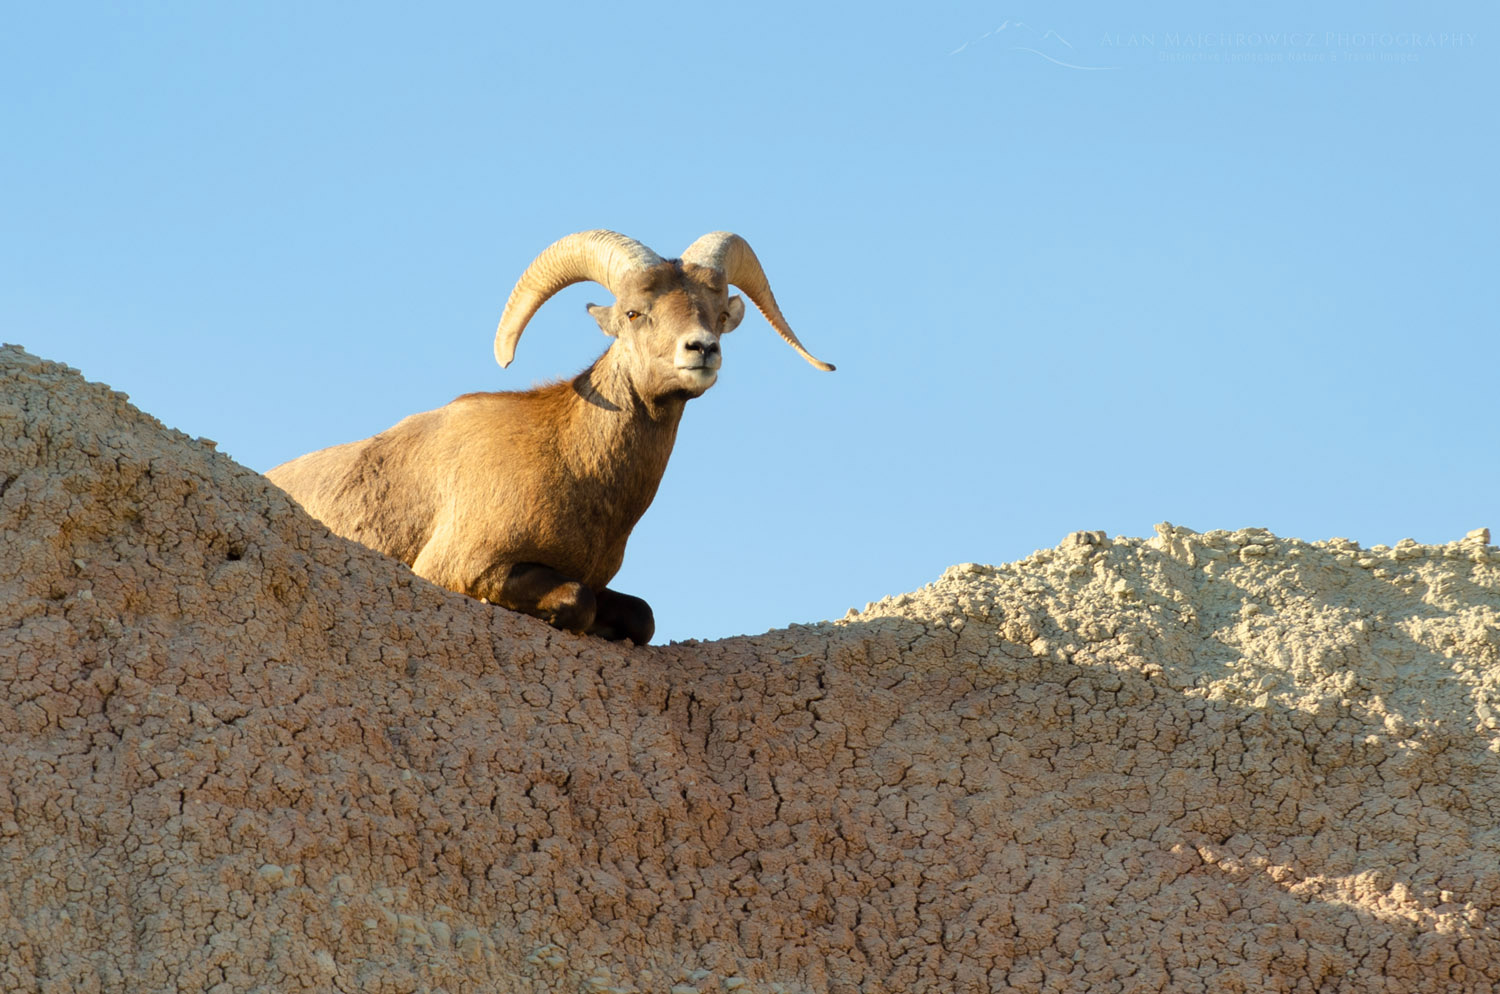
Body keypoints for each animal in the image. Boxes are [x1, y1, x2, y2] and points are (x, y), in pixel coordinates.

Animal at [267, 227, 834, 641]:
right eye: (634, 313)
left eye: (717, 314)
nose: (701, 350)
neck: (571, 461)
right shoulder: (462, 567)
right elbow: (576, 603)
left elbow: (642, 616)